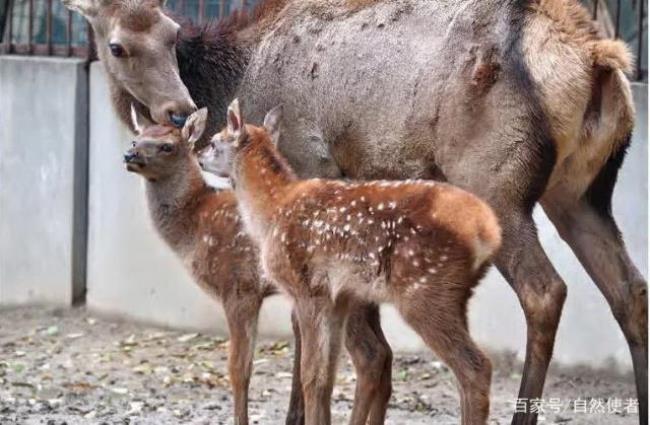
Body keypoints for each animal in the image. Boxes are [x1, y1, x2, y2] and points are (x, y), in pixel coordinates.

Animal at [66, 0, 644, 424]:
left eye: (170, 34)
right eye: (118, 45)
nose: (180, 110)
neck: (240, 73)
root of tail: (599, 55)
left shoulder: (306, 165)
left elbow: (306, 337)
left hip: (497, 181)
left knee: (544, 291)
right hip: (583, 191)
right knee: (629, 290)